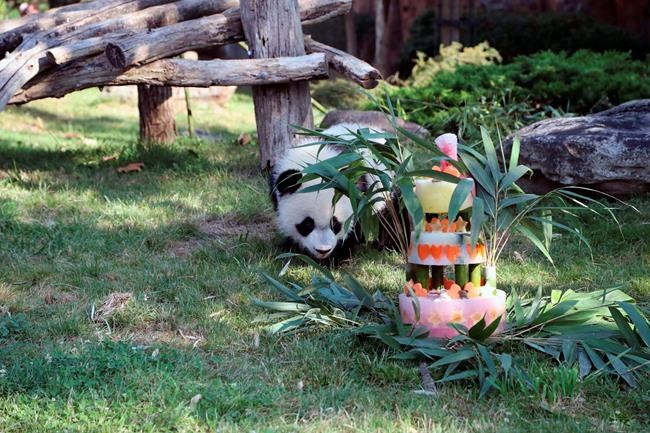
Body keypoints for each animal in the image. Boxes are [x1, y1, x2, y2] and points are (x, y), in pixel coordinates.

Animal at [270, 123, 391, 262]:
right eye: (308, 223)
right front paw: (290, 247)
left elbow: (354, 225)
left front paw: (338, 257)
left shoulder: (357, 191)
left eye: (335, 223)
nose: (323, 251)